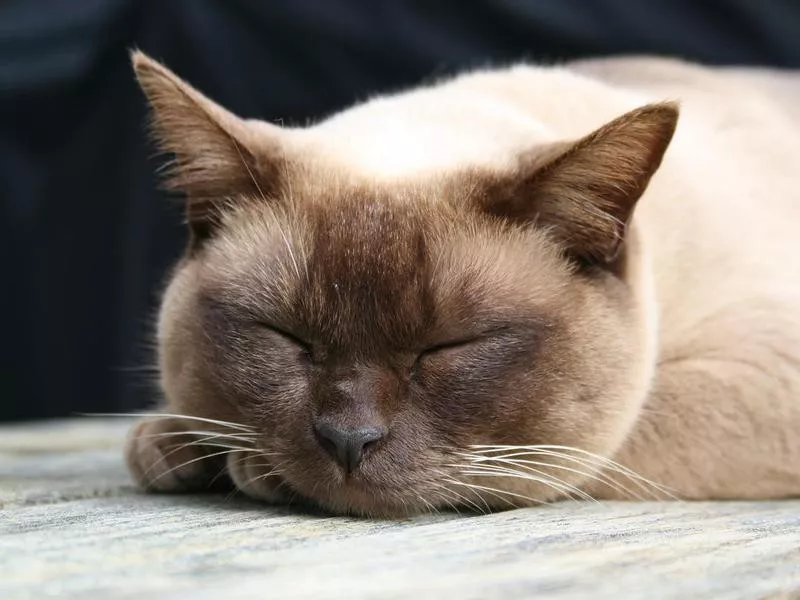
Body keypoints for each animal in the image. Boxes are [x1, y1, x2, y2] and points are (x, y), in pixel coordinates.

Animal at [123, 50, 800, 516]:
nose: (347, 440)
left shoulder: (758, 370)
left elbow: (582, 455)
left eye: (448, 348)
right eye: (286, 336)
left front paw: (242, 465)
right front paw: (176, 444)